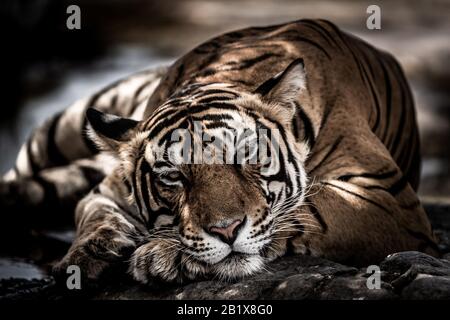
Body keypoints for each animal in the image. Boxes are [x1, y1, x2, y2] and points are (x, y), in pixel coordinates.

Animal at [2, 19, 440, 282]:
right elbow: (92, 213)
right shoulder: (107, 189)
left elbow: (312, 208)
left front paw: (164, 255)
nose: (227, 231)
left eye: (247, 157)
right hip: (68, 123)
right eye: (173, 176)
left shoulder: (388, 197)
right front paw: (85, 256)